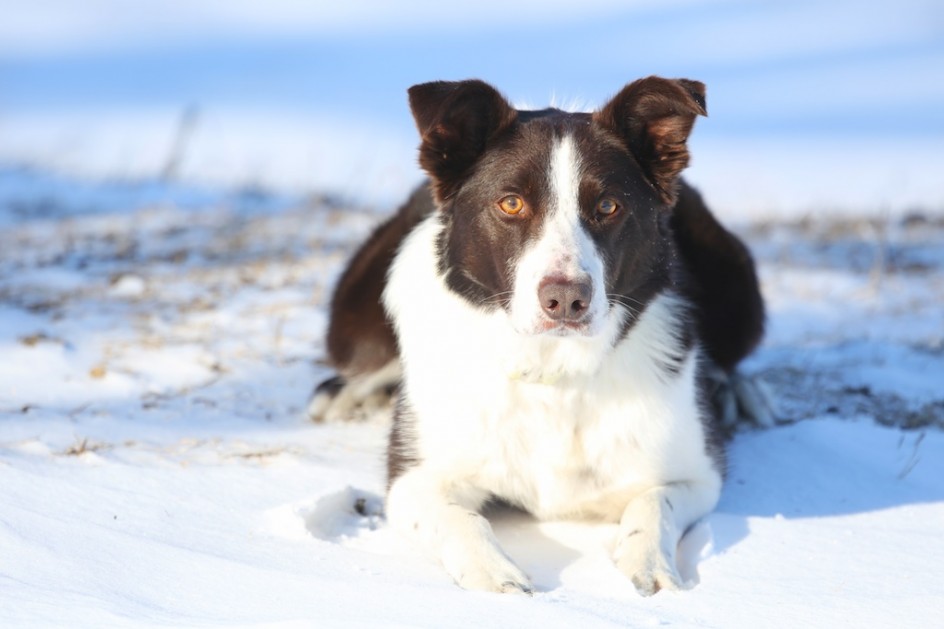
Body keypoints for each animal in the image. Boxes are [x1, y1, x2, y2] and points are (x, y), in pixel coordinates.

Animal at [310, 77, 768, 592]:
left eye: (608, 205)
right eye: (511, 203)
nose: (566, 299)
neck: (554, 369)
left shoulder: (697, 475)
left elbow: (652, 503)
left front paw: (649, 565)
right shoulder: (415, 480)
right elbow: (458, 518)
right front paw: (493, 573)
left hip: (737, 281)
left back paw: (739, 391)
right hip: (357, 317)